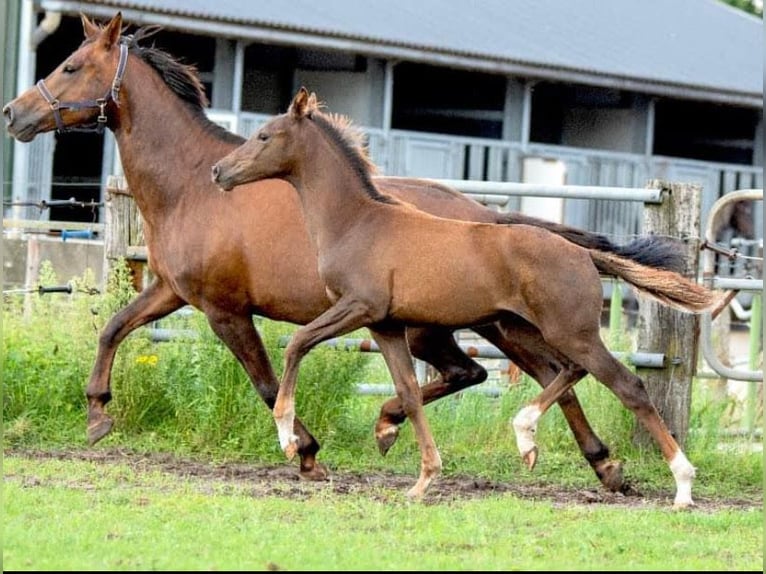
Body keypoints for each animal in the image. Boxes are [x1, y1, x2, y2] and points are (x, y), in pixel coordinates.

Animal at [4, 11, 684, 492]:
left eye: (70, 66)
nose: (13, 113)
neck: (194, 184)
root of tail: (488, 214)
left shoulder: (225, 310)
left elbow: (265, 379)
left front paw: (304, 452)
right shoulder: (172, 291)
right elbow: (114, 328)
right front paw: (98, 415)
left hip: (472, 325)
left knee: (536, 373)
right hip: (479, 325)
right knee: (528, 375)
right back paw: (597, 464)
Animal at [212, 88, 728, 506]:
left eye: (264, 135)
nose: (219, 171)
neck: (357, 222)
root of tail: (582, 253)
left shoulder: (358, 307)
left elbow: (297, 344)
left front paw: (288, 439)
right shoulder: (385, 324)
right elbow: (409, 394)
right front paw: (421, 477)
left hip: (569, 330)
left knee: (627, 386)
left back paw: (682, 486)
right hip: (526, 326)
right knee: (566, 371)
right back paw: (526, 435)